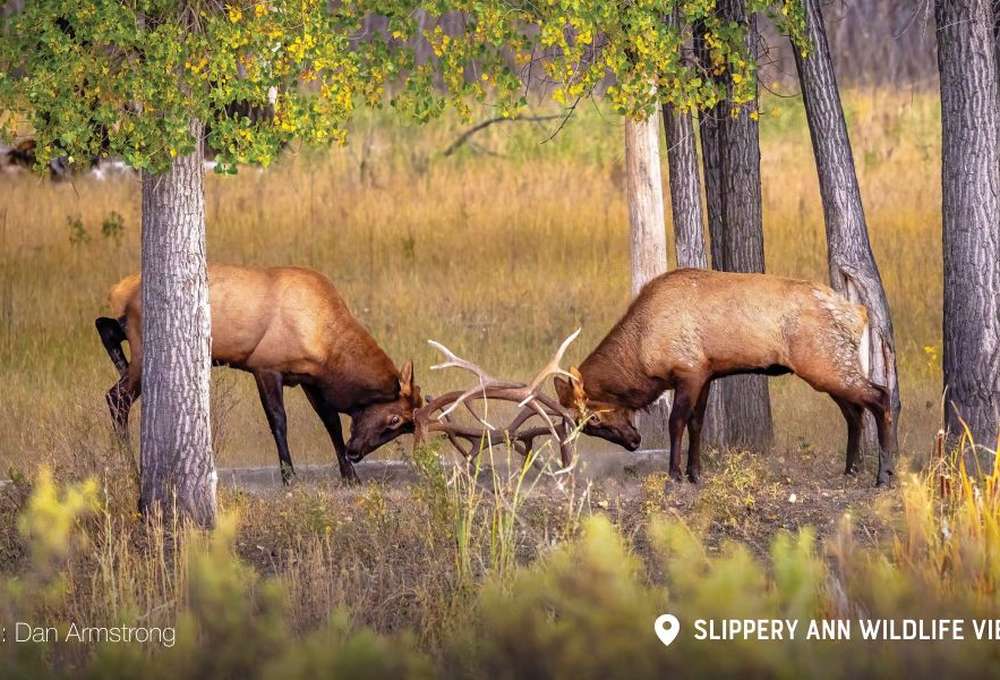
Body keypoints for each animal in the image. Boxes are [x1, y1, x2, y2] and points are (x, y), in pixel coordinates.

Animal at [94, 264, 423, 485]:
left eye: (406, 427)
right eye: (395, 419)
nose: (356, 454)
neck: (327, 349)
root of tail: (119, 290)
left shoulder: (309, 379)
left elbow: (331, 422)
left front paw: (349, 475)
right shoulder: (265, 367)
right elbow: (279, 421)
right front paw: (289, 475)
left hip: (132, 337)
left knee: (106, 326)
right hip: (144, 354)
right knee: (115, 397)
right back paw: (133, 469)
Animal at [552, 268, 898, 487]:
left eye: (593, 419)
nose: (633, 442)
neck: (643, 354)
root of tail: (859, 312)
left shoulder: (688, 370)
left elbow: (676, 422)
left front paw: (674, 475)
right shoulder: (707, 373)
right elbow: (697, 423)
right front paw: (695, 474)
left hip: (825, 363)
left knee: (880, 397)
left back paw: (883, 475)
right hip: (829, 366)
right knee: (855, 412)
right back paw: (851, 470)